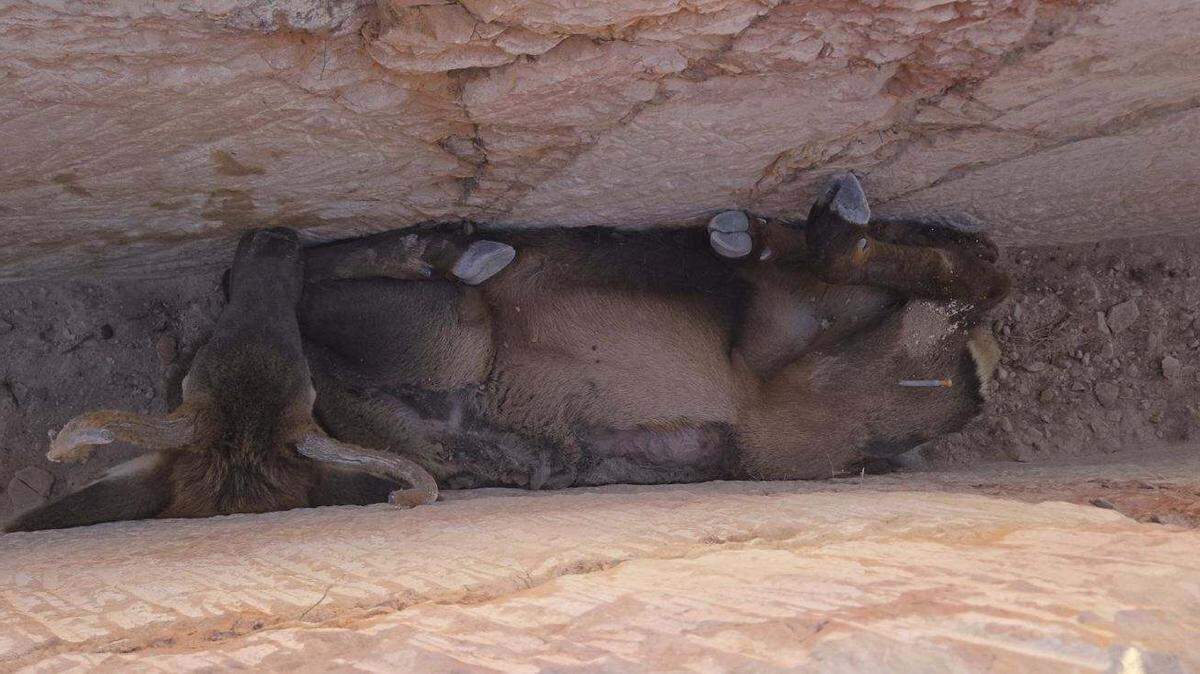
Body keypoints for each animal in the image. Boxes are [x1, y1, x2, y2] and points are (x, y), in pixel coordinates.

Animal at [5, 174, 1009, 531]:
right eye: (216, 364)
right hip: (814, 340)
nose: (268, 240)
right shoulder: (445, 334)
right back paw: (796, 228)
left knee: (975, 271)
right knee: (971, 273)